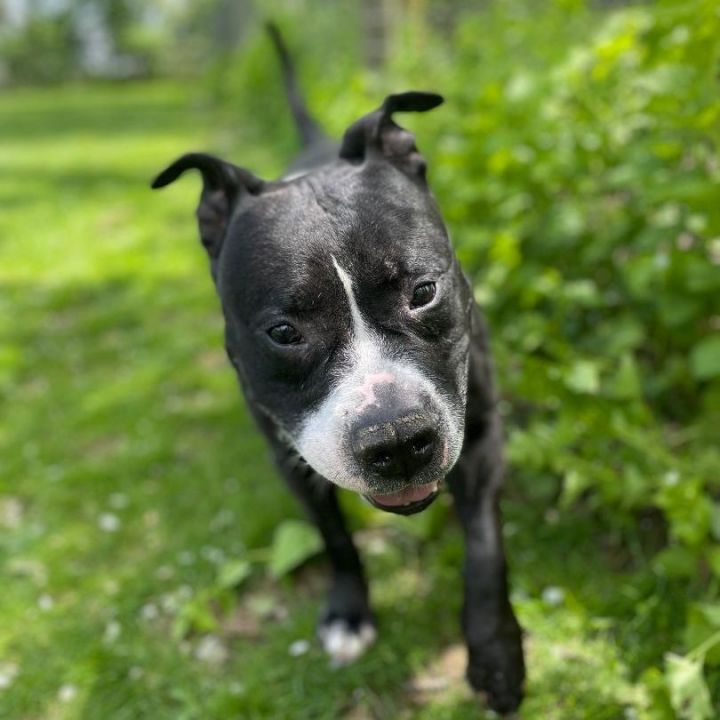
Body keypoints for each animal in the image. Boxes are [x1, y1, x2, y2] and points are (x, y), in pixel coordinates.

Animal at [150, 25, 524, 712]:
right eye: (283, 332)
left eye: (424, 291)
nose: (398, 442)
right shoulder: (288, 455)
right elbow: (334, 538)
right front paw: (350, 611)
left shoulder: (480, 432)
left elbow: (485, 545)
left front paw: (496, 653)